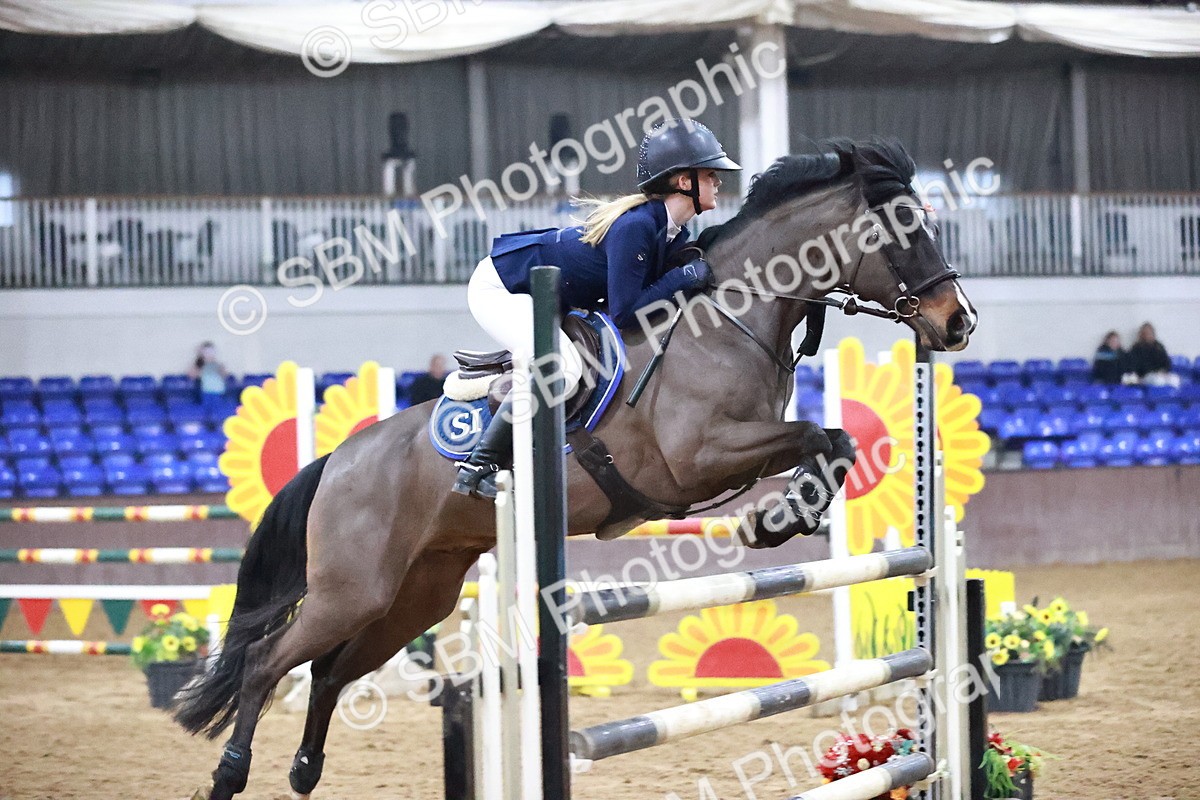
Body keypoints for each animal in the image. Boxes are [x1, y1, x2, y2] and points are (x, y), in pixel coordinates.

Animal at [176, 137, 977, 800]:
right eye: (906, 229)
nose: (958, 322)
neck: (728, 316)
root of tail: (339, 460)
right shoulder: (698, 456)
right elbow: (818, 434)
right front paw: (774, 520)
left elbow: (833, 442)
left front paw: (785, 516)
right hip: (353, 587)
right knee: (267, 663)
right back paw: (229, 776)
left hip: (414, 594)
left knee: (329, 670)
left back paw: (305, 770)